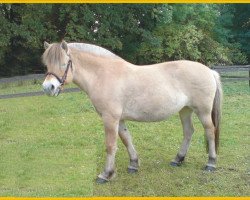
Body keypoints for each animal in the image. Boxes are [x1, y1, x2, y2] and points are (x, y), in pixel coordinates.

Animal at [42, 40, 222, 183]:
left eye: (64, 63)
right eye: (47, 64)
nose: (48, 87)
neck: (103, 75)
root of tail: (209, 71)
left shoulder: (110, 118)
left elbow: (111, 145)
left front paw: (106, 174)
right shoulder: (119, 119)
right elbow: (126, 139)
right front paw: (133, 164)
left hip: (203, 111)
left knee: (210, 131)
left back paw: (211, 163)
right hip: (185, 110)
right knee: (188, 131)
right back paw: (178, 159)